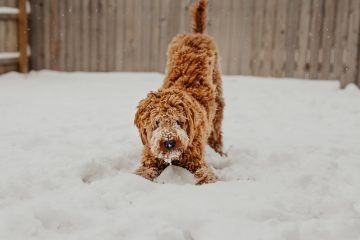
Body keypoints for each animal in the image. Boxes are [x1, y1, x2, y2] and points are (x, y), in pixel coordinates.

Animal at [135, 0, 225, 185]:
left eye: (178, 121)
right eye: (156, 122)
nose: (169, 142)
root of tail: (196, 33)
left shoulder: (196, 161)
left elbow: (206, 175)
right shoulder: (150, 158)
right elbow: (142, 172)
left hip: (218, 101)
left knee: (216, 131)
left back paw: (219, 151)